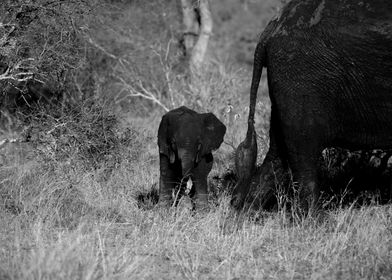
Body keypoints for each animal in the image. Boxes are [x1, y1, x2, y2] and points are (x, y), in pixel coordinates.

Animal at [233, 0, 392, 213]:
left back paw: (246, 214)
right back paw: (316, 219)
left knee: (277, 156)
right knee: (303, 151)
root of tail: (271, 28)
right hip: (302, 76)